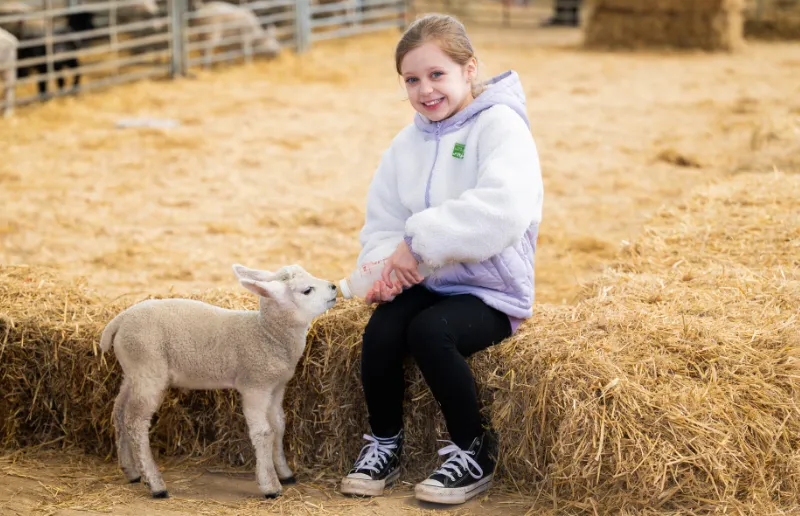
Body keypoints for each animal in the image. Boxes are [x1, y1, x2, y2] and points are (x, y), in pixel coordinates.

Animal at [99, 264, 338, 498]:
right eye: (307, 290)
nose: (334, 287)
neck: (267, 334)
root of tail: (119, 321)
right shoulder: (255, 385)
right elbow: (264, 432)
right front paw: (270, 485)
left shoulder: (277, 386)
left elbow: (279, 426)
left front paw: (285, 473)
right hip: (148, 369)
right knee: (135, 421)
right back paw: (156, 484)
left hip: (132, 372)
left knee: (119, 412)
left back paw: (131, 471)